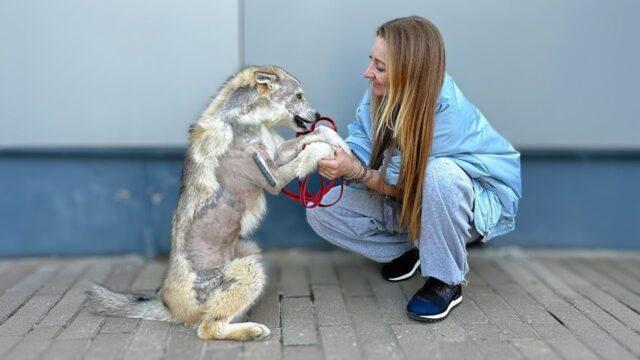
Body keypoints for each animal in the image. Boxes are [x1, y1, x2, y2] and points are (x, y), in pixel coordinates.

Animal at [86, 64, 350, 340]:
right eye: (298, 96)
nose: (318, 114)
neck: (249, 121)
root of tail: (165, 304)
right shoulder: (274, 178)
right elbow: (313, 149)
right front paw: (333, 153)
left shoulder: (278, 154)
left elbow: (320, 132)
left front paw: (343, 146)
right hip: (249, 270)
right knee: (208, 328)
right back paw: (251, 330)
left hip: (250, 253)